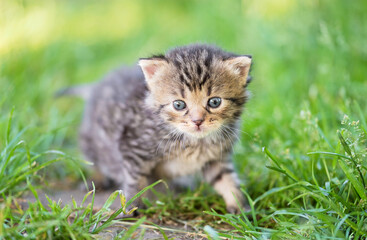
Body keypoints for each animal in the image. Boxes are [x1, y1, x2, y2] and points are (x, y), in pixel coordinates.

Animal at [62, 43, 253, 214]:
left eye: (214, 102)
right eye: (179, 104)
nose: (197, 121)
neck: (193, 141)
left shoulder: (216, 157)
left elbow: (226, 179)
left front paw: (239, 205)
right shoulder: (133, 146)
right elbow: (135, 179)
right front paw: (132, 205)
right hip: (90, 139)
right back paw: (97, 179)